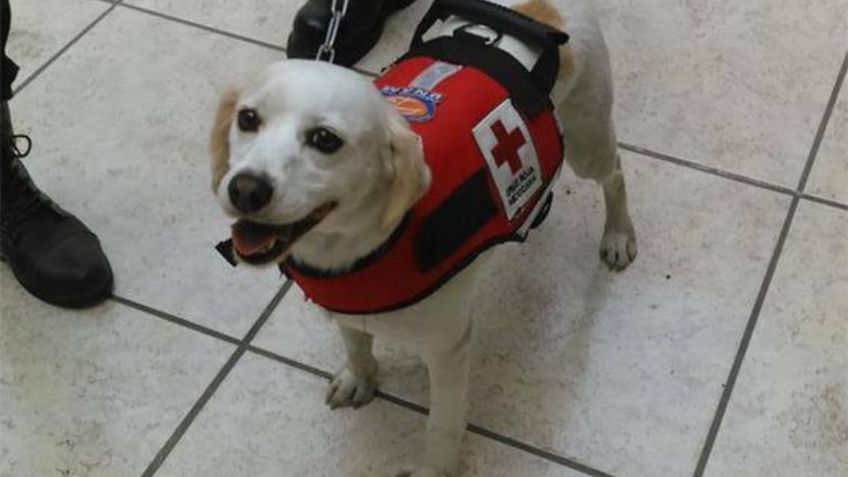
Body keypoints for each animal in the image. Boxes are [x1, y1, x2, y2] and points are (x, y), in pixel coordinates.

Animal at [210, 1, 636, 474]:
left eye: (325, 139)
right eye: (248, 119)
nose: (245, 189)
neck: (357, 246)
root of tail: (543, 10)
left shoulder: (448, 349)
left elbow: (442, 426)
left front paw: (435, 468)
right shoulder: (347, 310)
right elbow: (356, 342)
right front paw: (361, 376)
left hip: (587, 140)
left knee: (616, 173)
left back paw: (618, 235)